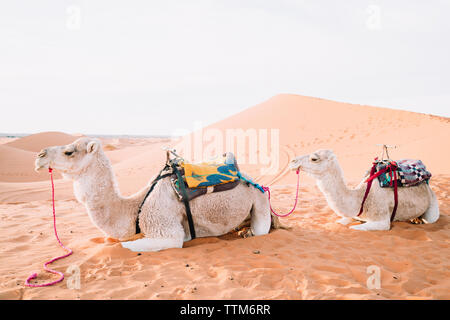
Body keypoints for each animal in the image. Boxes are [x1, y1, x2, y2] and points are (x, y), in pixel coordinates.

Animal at [36, 138, 282, 252]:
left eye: (69, 152)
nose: (39, 155)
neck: (134, 207)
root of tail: (257, 183)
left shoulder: (165, 228)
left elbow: (125, 246)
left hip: (259, 201)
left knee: (261, 228)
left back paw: (249, 233)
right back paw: (241, 230)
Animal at [288, 149, 440, 230]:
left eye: (314, 158)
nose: (292, 161)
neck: (360, 198)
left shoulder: (382, 220)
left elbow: (354, 227)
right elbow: (342, 221)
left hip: (432, 204)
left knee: (430, 219)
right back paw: (415, 219)